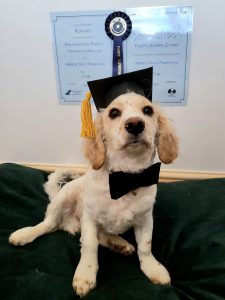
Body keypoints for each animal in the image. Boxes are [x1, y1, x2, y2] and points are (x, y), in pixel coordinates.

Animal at [8, 92, 178, 298]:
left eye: (147, 110)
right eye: (114, 113)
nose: (135, 124)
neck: (126, 177)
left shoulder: (145, 219)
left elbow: (145, 246)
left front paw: (153, 268)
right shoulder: (89, 217)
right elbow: (89, 245)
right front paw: (85, 275)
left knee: (102, 235)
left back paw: (120, 244)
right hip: (63, 198)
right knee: (49, 225)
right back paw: (25, 234)